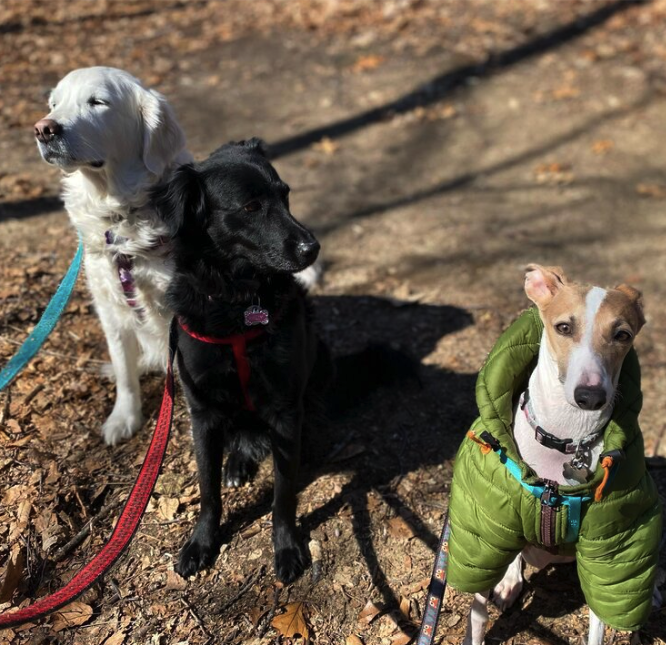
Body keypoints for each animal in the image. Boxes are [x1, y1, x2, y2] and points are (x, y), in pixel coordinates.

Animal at [33, 68, 320, 446]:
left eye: (98, 101)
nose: (44, 128)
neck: (123, 217)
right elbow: (125, 372)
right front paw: (124, 417)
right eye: (54, 104)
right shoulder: (110, 307)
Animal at [154, 138, 332, 580]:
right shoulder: (202, 412)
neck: (239, 303)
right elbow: (207, 491)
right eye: (251, 207)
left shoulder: (285, 412)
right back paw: (236, 462)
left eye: (285, 196)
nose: (313, 248)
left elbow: (283, 495)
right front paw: (201, 542)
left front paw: (286, 546)